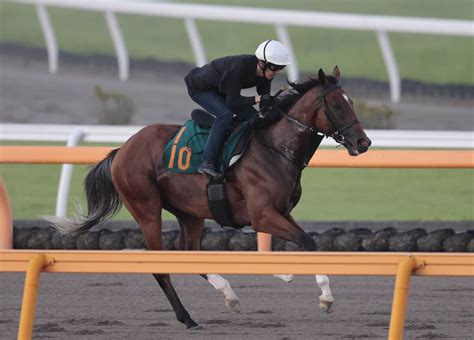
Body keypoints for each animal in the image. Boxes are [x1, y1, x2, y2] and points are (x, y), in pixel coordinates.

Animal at [51, 65, 370, 328]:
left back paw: (229, 295)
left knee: (189, 253)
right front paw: (324, 298)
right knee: (161, 267)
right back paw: (188, 319)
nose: (363, 142)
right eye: (337, 105)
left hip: (189, 213)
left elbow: (307, 243)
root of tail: (121, 150)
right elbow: (307, 242)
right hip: (147, 210)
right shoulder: (262, 215)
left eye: (352, 102)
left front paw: (292, 277)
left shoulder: (281, 211)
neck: (275, 147)